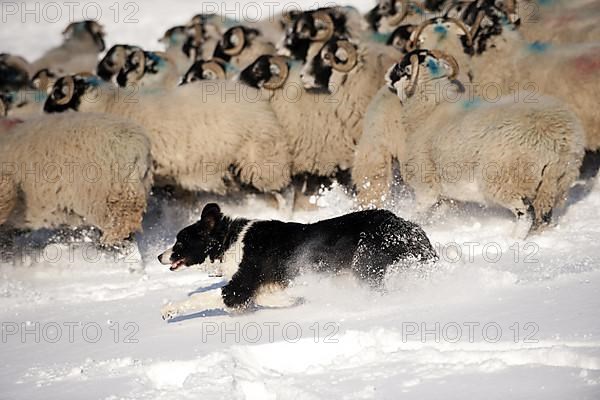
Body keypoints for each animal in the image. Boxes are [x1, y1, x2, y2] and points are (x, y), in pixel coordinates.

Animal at [43, 74, 292, 197]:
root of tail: (260, 99)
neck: (109, 106)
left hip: (262, 157)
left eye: (56, 95)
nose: (43, 113)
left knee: (280, 188)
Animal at [354, 48, 584, 234]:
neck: (430, 109)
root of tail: (559, 138)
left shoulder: (426, 186)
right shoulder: (447, 195)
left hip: (505, 179)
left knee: (525, 214)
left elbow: (418, 213)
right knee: (543, 218)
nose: (387, 74)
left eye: (402, 67)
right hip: (554, 184)